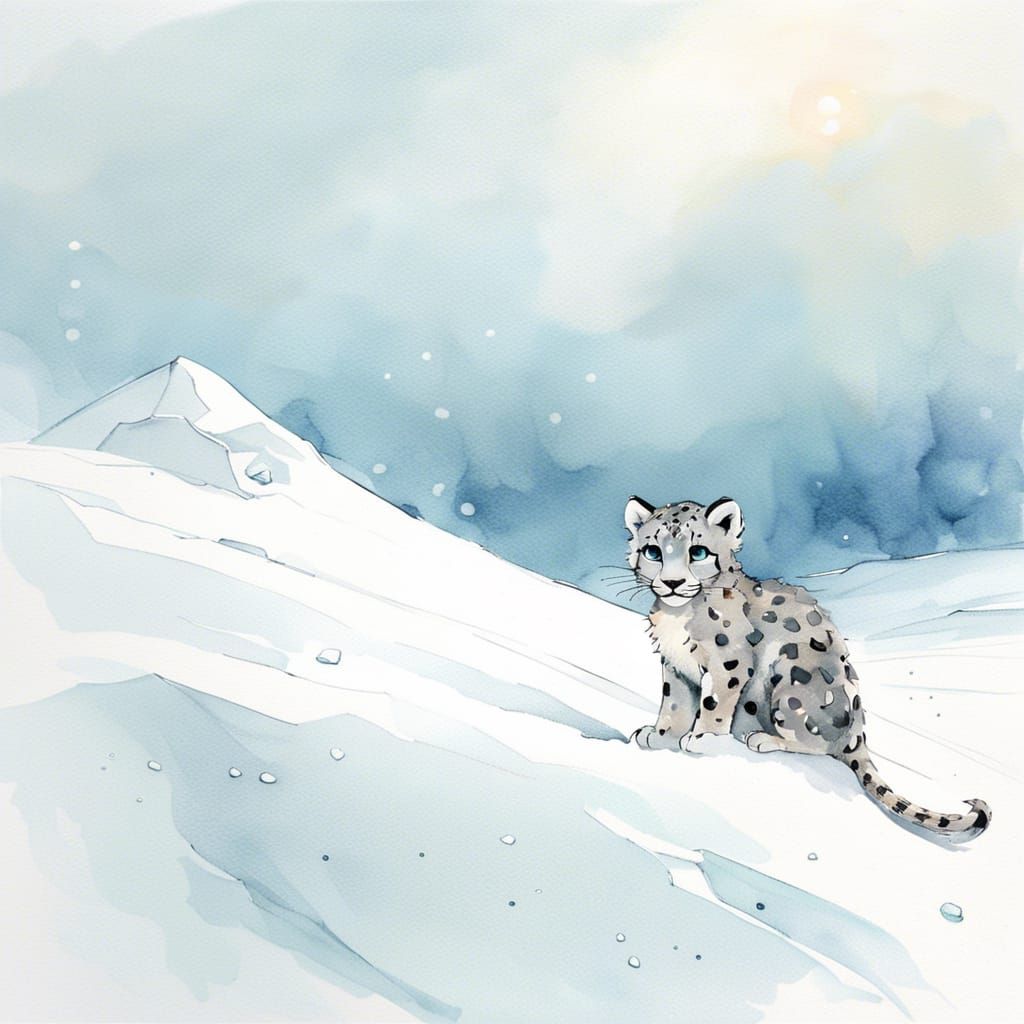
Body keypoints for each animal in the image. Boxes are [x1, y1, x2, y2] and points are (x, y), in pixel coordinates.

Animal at [623, 494, 991, 843]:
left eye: (698, 551)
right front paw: (660, 736)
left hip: (791, 687)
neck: (677, 616)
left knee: (819, 745)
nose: (672, 582)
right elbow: (674, 704)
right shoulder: (674, 665)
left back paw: (762, 739)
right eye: (653, 551)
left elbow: (713, 703)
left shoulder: (727, 662)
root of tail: (857, 730)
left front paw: (704, 738)